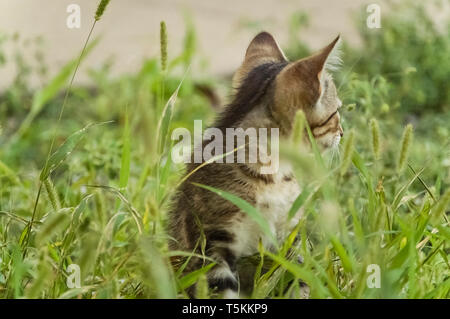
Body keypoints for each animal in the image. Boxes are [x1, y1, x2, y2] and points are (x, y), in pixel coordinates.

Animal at [170, 31, 344, 298]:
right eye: (336, 113)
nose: (342, 133)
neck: (273, 175)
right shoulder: (212, 243)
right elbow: (222, 290)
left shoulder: (290, 237)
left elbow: (300, 280)